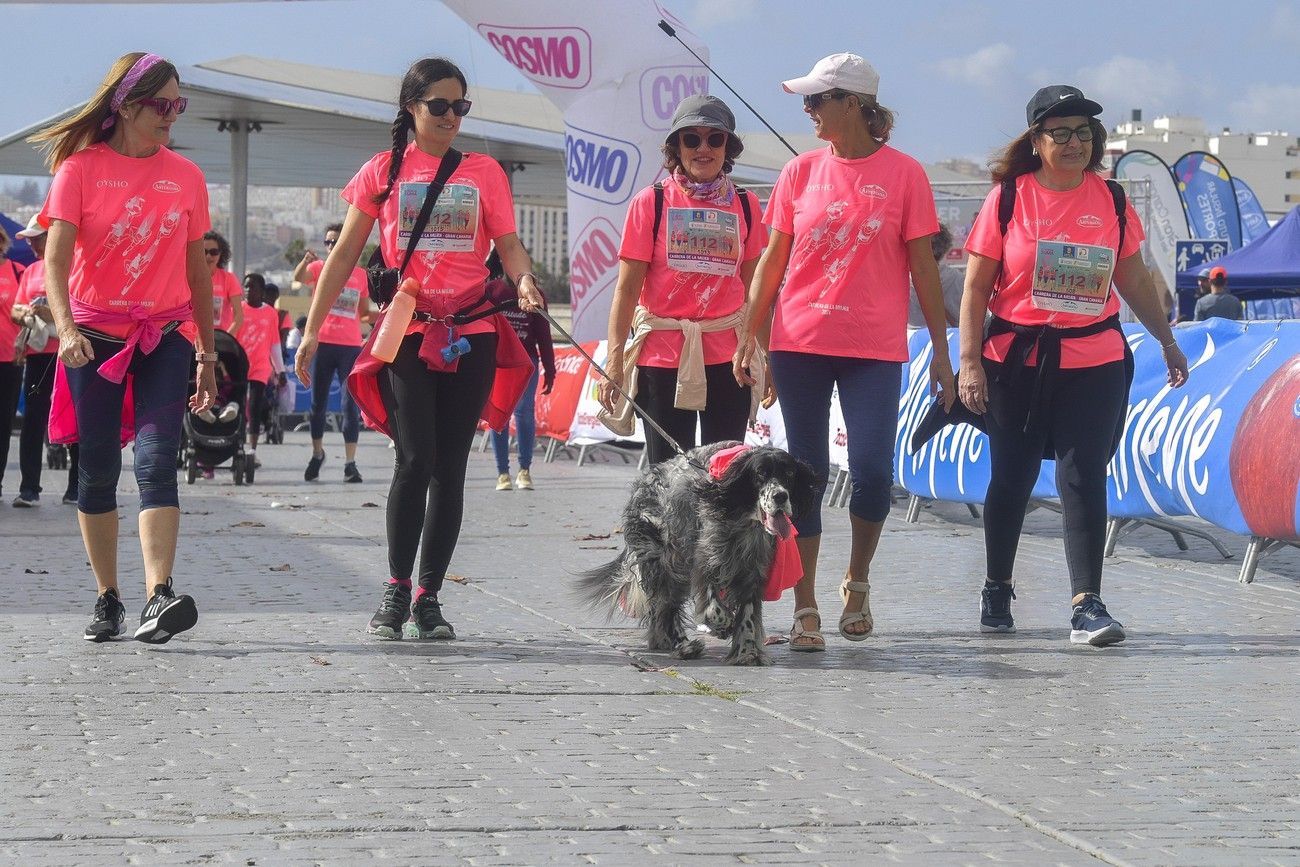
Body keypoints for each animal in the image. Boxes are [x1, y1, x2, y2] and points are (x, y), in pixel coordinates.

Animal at [577, 444, 811, 670]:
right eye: (760, 473)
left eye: (789, 473)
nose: (780, 496)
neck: (743, 520)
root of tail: (646, 479)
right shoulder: (706, 559)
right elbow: (714, 606)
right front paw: (723, 625)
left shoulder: (752, 570)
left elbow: (748, 615)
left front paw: (747, 652)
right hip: (666, 563)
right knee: (665, 606)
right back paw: (682, 645)